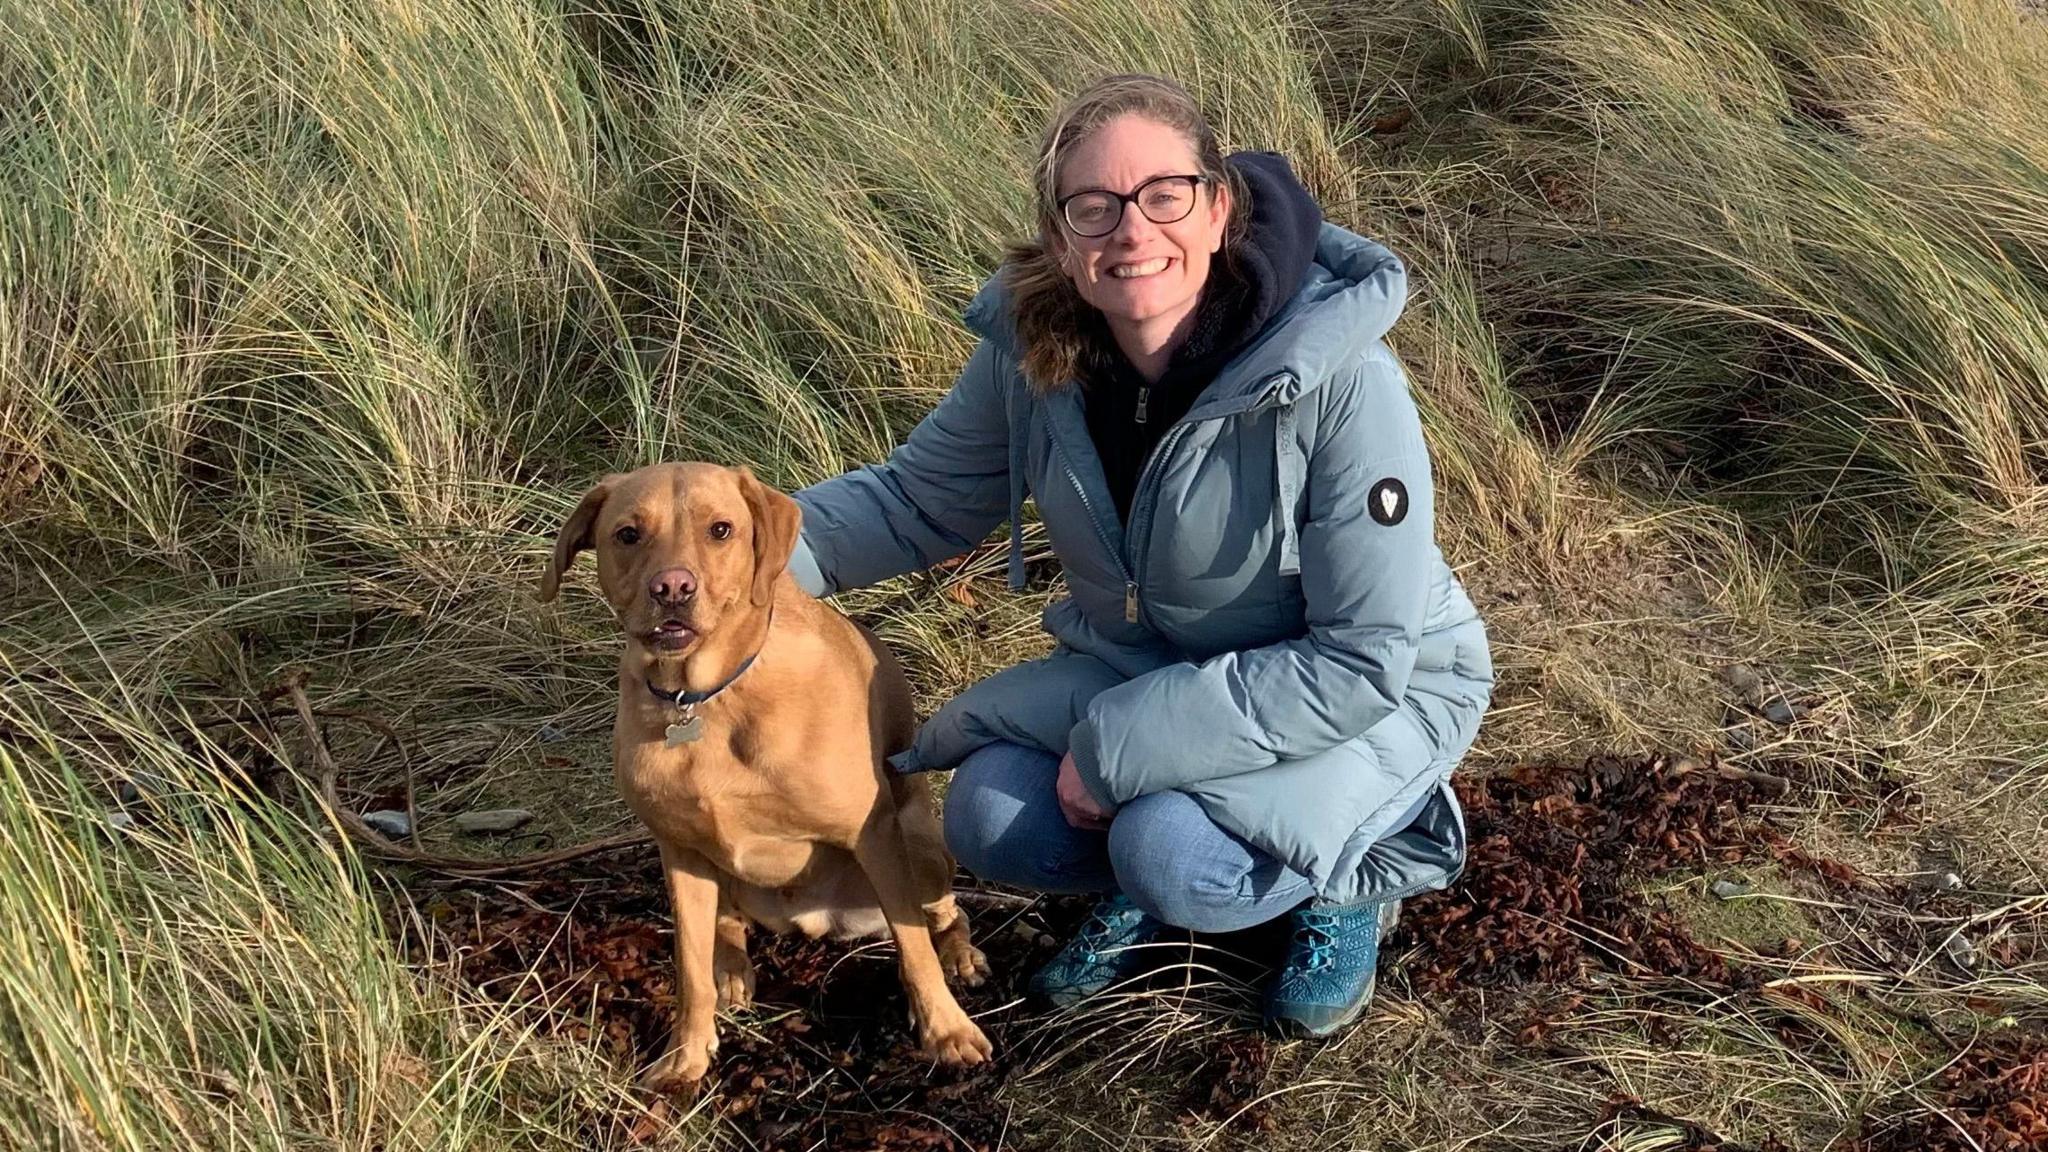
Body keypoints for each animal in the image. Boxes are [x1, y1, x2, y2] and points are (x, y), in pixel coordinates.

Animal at [536, 459, 991, 1082]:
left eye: (721, 530)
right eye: (628, 534)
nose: (672, 587)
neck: (704, 697)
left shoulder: (874, 834)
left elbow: (914, 947)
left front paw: (946, 1029)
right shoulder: (679, 852)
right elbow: (689, 967)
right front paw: (686, 1053)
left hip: (921, 848)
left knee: (943, 912)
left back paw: (960, 953)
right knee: (725, 923)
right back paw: (729, 967)